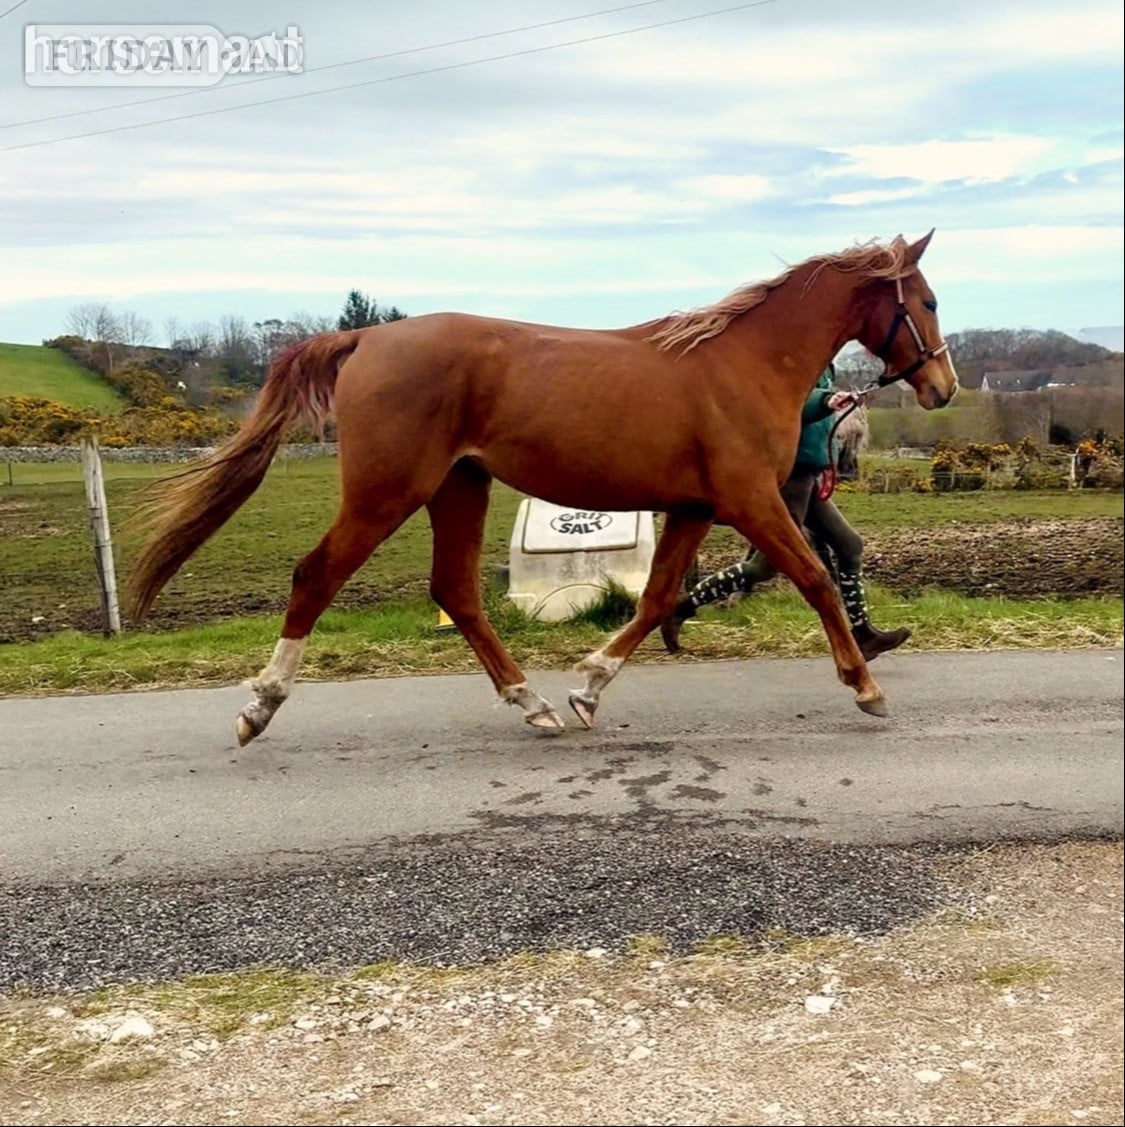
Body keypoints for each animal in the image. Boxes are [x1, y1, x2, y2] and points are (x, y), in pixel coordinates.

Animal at [124, 230, 957, 746]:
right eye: (926, 300)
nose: (943, 387)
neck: (742, 361)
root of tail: (365, 337)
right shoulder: (750, 498)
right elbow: (814, 576)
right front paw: (864, 685)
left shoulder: (694, 505)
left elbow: (657, 596)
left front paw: (587, 686)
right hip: (386, 492)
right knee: (315, 575)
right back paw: (258, 707)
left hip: (458, 488)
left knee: (455, 591)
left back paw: (534, 704)